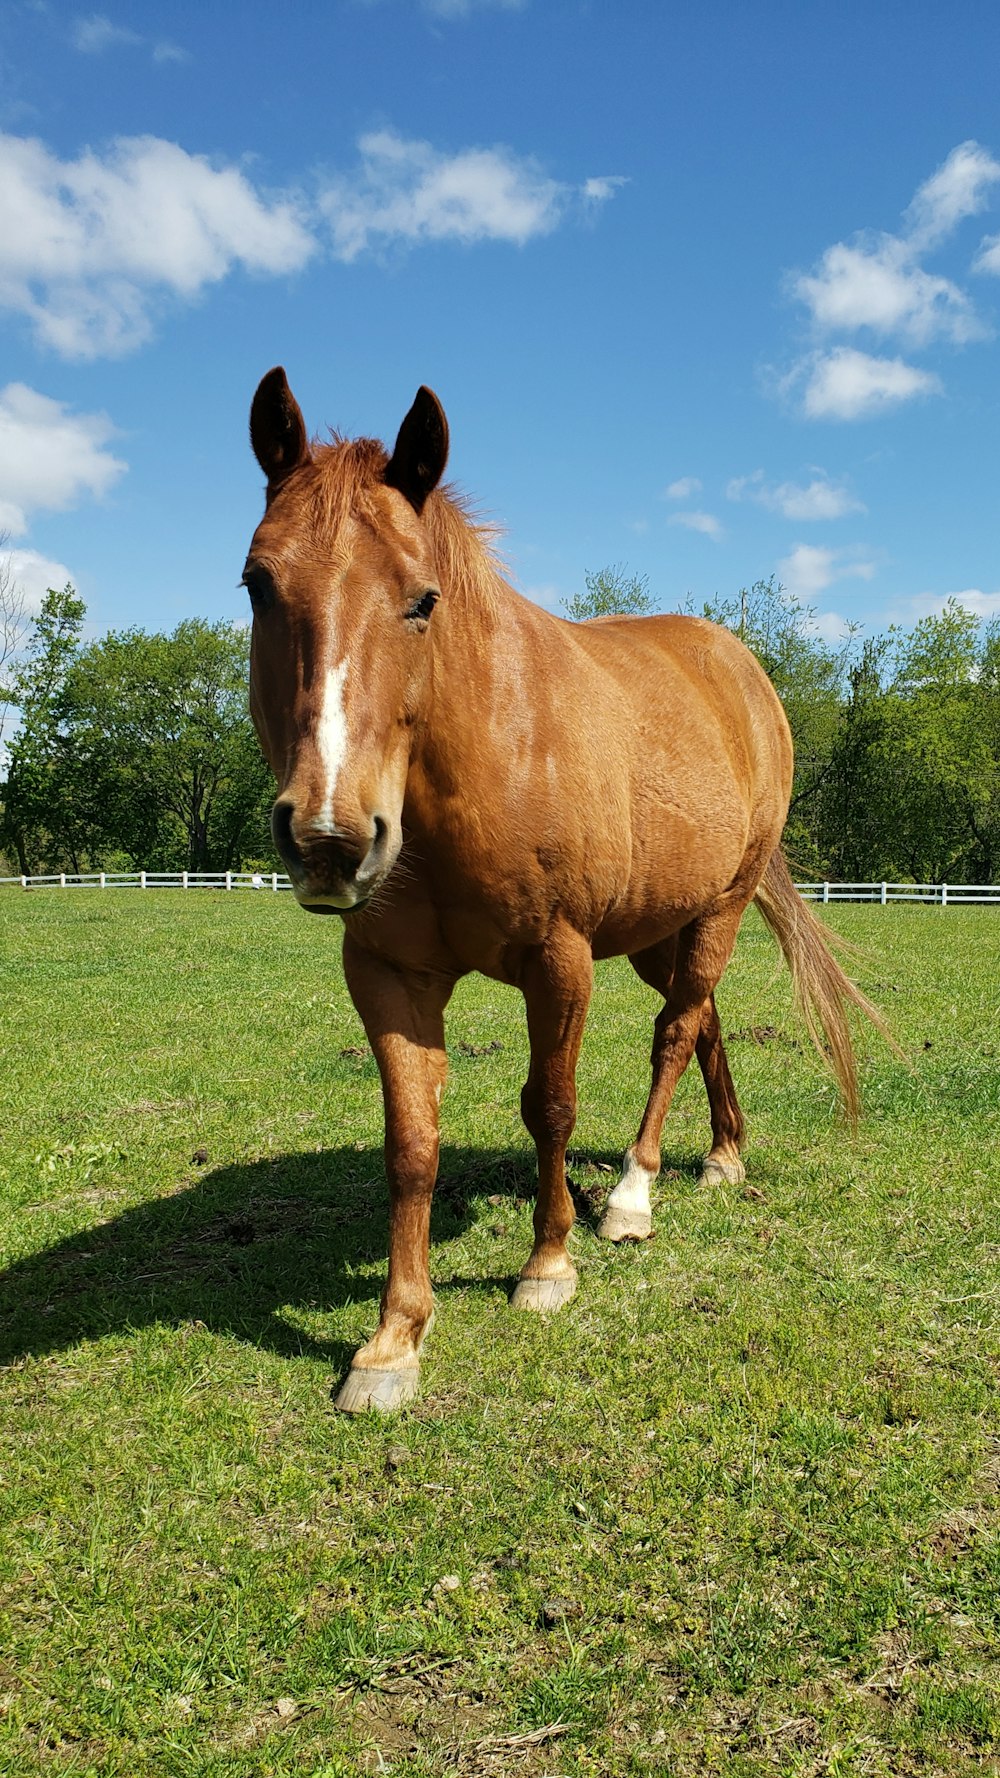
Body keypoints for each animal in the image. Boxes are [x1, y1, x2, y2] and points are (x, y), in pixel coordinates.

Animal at [245, 371, 875, 1415]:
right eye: (258, 584)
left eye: (422, 600)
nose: (330, 838)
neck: (477, 762)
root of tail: (740, 668)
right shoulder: (387, 973)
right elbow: (411, 1143)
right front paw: (392, 1341)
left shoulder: (559, 959)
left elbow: (550, 1105)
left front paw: (548, 1265)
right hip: (662, 924)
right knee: (704, 1020)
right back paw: (724, 1153)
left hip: (720, 905)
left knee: (676, 1032)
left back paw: (632, 1196)